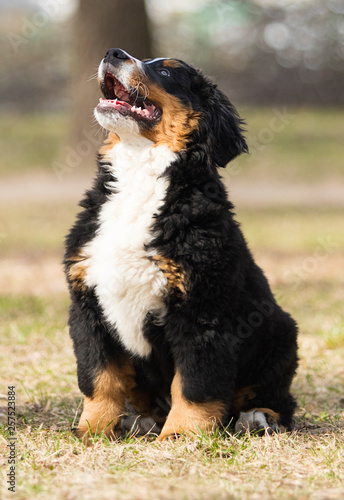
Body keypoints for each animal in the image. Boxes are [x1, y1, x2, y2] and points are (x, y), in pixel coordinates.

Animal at [64, 47, 298, 442]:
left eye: (167, 73)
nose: (113, 52)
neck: (140, 177)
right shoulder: (87, 306)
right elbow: (100, 378)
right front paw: (92, 430)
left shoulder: (203, 310)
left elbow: (194, 383)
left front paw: (182, 434)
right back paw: (140, 419)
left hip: (281, 336)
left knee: (278, 400)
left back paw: (258, 417)